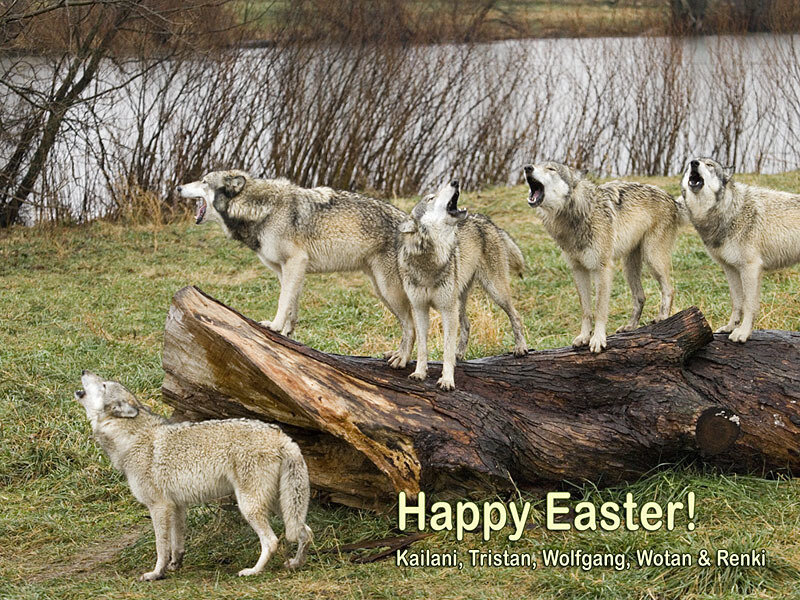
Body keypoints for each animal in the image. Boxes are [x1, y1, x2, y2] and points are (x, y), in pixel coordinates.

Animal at [75, 371, 312, 581]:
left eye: (103, 385)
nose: (84, 370)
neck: (131, 438)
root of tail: (282, 436)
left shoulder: (159, 507)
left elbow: (161, 547)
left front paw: (156, 574)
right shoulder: (177, 506)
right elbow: (177, 544)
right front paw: (174, 566)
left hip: (250, 507)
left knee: (272, 541)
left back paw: (253, 572)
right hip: (279, 506)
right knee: (305, 531)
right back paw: (295, 564)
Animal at [177, 171, 415, 368]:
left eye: (204, 181)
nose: (178, 187)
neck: (262, 210)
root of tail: (411, 223)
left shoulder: (295, 262)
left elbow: (283, 301)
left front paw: (273, 326)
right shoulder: (285, 270)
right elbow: (292, 304)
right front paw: (286, 332)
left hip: (390, 291)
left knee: (412, 326)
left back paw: (402, 360)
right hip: (381, 290)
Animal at [397, 179, 528, 391]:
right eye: (431, 198)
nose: (455, 181)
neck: (430, 262)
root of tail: (486, 220)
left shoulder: (447, 310)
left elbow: (446, 349)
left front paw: (447, 380)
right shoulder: (420, 309)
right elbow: (422, 347)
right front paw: (419, 373)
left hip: (494, 291)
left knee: (515, 315)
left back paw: (521, 347)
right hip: (459, 300)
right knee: (467, 323)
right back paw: (460, 354)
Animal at [524, 162, 682, 352]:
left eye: (551, 169)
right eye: (536, 164)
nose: (527, 167)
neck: (575, 215)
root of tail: (671, 198)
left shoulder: (603, 268)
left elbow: (599, 309)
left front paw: (598, 339)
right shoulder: (578, 270)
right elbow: (586, 310)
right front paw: (584, 337)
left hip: (652, 259)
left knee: (669, 289)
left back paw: (662, 318)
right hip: (628, 268)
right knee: (640, 297)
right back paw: (630, 326)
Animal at [681, 157, 800, 342]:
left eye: (709, 165)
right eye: (689, 165)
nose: (694, 163)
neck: (730, 210)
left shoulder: (751, 268)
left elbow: (749, 304)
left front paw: (743, 333)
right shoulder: (730, 268)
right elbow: (737, 302)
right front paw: (730, 327)